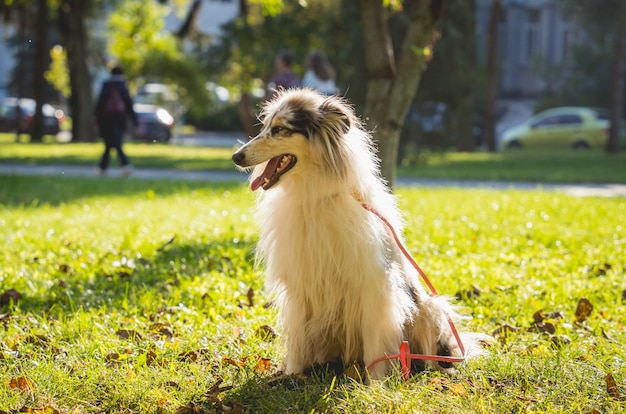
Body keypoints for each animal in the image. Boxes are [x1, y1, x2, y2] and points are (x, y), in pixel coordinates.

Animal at [232, 89, 486, 380]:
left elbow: (376, 342)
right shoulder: (301, 287)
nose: (236, 157)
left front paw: (375, 383)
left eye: (279, 129)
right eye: (265, 127)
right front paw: (293, 375)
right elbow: (298, 338)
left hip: (430, 309)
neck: (315, 198)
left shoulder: (375, 287)